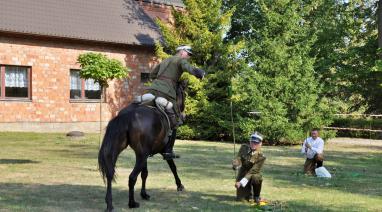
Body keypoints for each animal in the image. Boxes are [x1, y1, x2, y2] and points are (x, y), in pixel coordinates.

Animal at [98, 80, 187, 210]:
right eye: (184, 94)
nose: (183, 115)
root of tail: (127, 115)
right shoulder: (162, 152)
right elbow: (173, 167)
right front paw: (179, 185)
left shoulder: (144, 154)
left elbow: (145, 173)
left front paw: (144, 194)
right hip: (141, 155)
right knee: (132, 177)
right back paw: (132, 203)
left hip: (121, 152)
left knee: (110, 173)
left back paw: (109, 204)